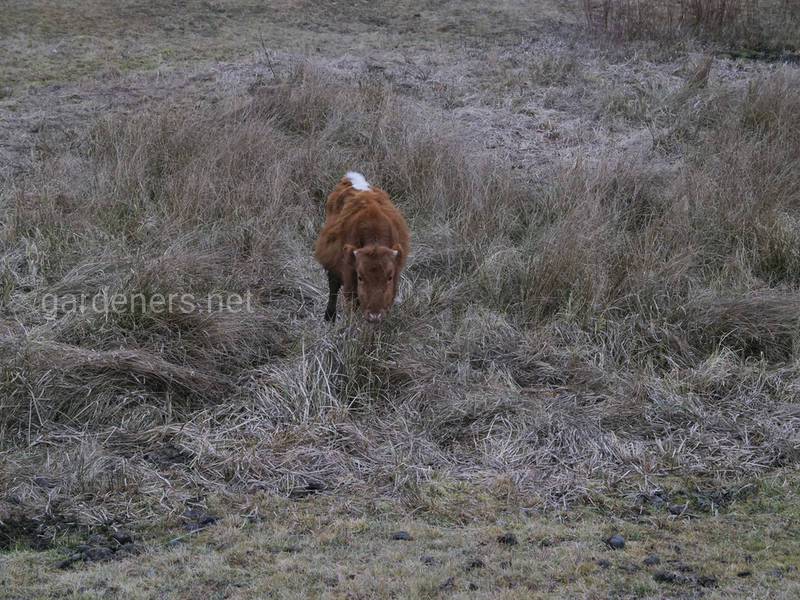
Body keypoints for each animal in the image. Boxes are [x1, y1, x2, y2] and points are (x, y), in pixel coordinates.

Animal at [314, 171, 410, 324]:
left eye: (389, 277)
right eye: (360, 277)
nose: (374, 315)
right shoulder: (348, 276)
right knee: (333, 285)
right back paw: (330, 316)